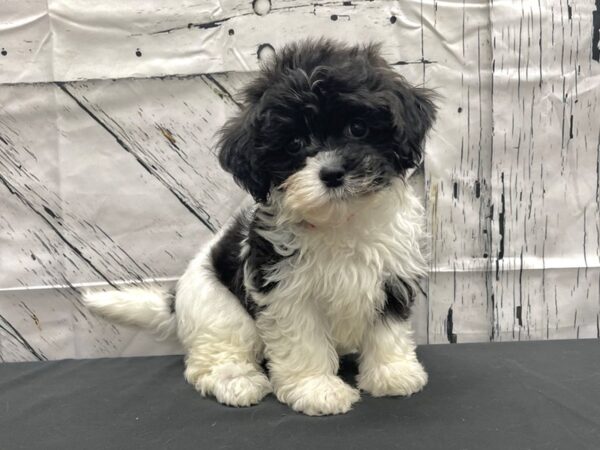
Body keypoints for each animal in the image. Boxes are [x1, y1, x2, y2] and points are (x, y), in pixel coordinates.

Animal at [83, 40, 436, 416]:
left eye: (358, 127)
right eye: (293, 144)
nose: (332, 173)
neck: (339, 222)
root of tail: (176, 299)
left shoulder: (391, 276)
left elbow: (388, 331)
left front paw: (392, 373)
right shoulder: (286, 290)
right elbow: (304, 340)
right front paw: (317, 388)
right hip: (220, 312)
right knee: (214, 357)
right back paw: (237, 381)